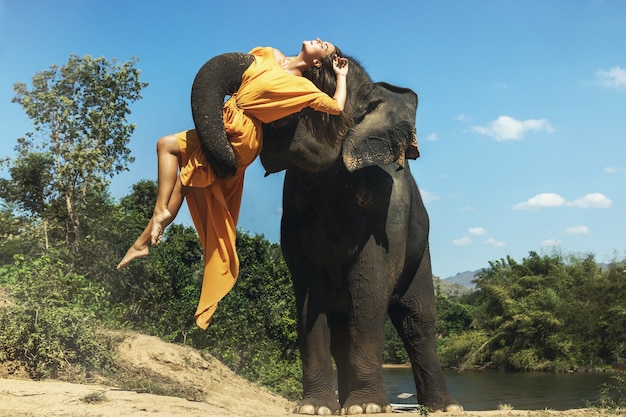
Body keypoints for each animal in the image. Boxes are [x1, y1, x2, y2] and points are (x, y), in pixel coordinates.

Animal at [189, 52, 458, 412]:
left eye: (312, 76)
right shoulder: (294, 213)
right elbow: (309, 295)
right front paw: (315, 408)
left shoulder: (388, 211)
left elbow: (369, 288)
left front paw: (367, 408)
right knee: (343, 329)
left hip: (421, 250)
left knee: (417, 320)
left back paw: (444, 408)